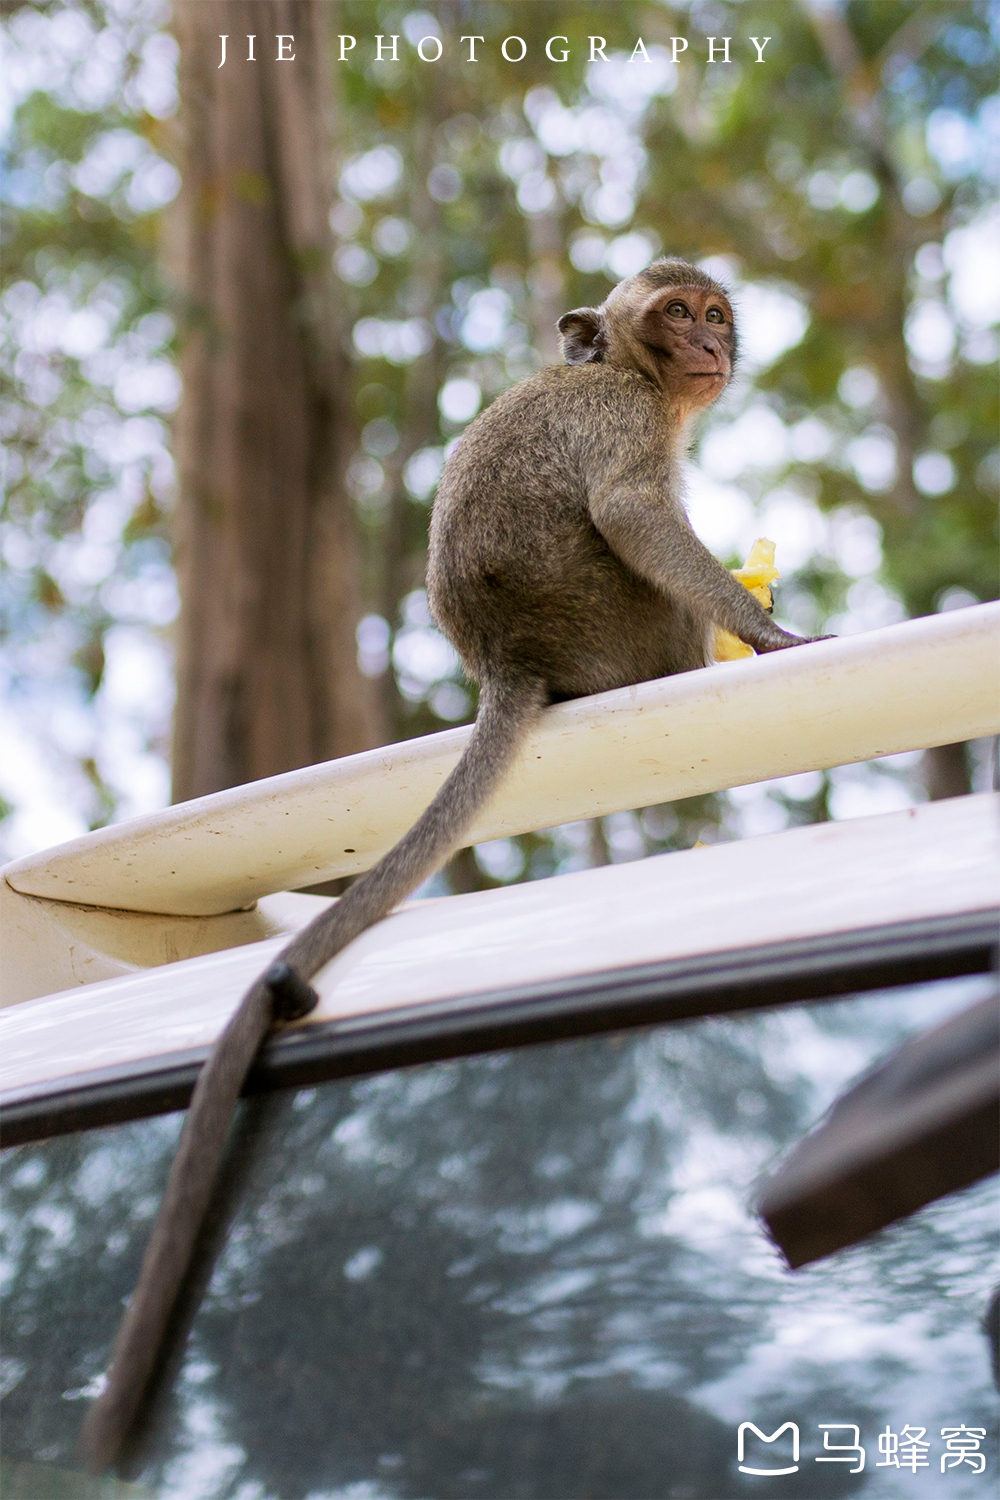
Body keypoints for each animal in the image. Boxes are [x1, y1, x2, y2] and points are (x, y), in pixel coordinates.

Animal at [82, 258, 827, 1464]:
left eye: (715, 314)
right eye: (678, 315)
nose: (710, 343)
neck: (630, 375)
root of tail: (510, 659)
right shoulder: (625, 424)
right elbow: (631, 512)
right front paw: (765, 636)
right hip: (625, 634)